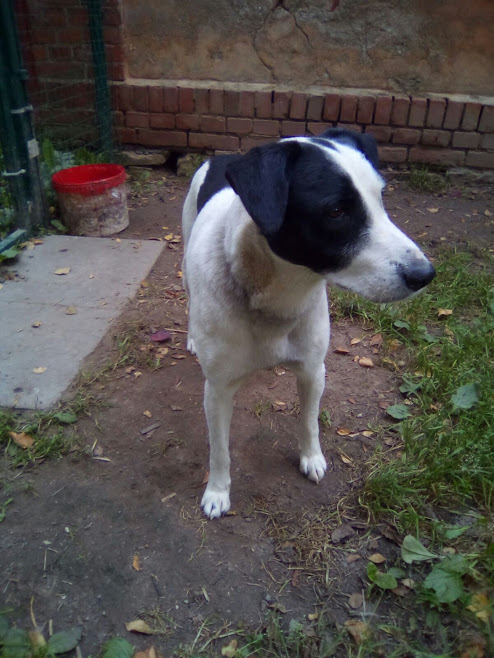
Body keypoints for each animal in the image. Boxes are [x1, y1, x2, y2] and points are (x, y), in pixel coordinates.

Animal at [181, 128, 435, 519]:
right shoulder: (218, 389)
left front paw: (311, 458)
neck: (277, 297)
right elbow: (219, 449)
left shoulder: (314, 370)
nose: (425, 275)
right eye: (336, 211)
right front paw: (217, 492)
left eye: (380, 198)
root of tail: (222, 156)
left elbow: (309, 422)